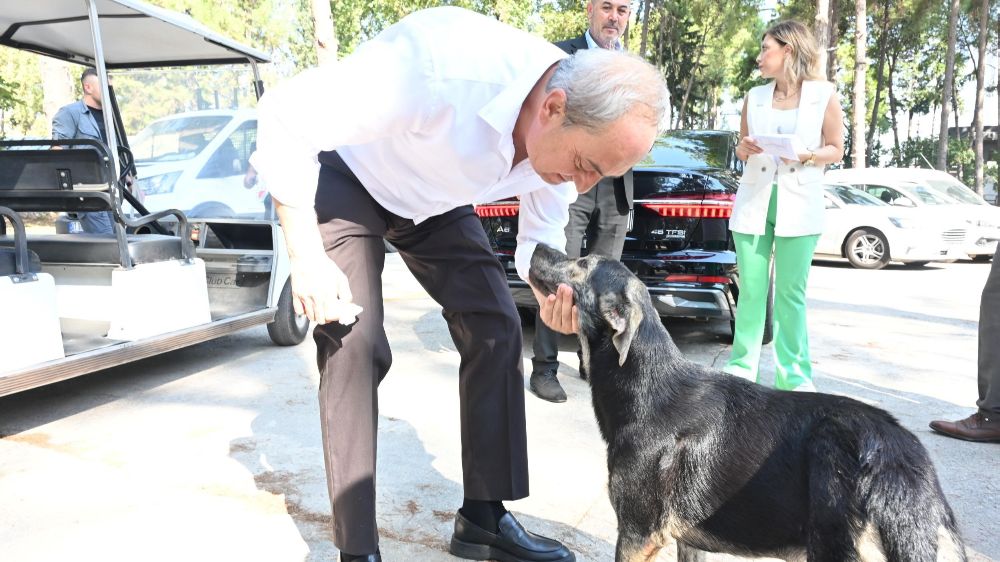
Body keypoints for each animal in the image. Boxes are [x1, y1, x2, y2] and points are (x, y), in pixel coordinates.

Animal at [528, 245, 964, 560]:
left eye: (582, 263)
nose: (535, 246)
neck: (647, 391)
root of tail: (903, 463)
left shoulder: (638, 533)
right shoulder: (687, 541)